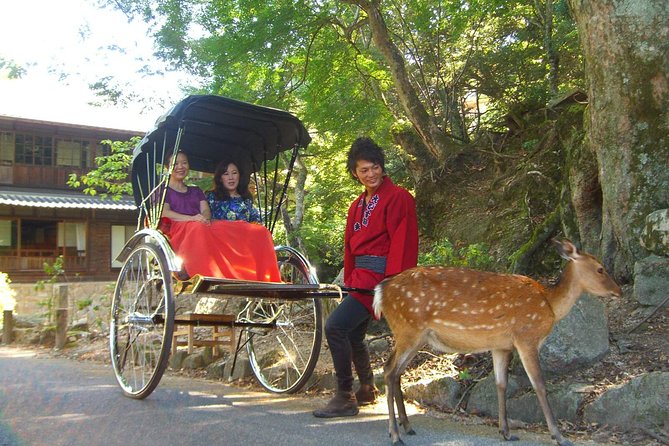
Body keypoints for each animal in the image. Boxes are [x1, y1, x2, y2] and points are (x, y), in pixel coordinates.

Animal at [374, 240, 620, 446]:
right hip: (408, 329)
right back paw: (395, 434)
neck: (549, 304)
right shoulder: (526, 337)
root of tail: (380, 291)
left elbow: (501, 384)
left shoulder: (501, 345)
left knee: (395, 372)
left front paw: (506, 432)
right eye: (600, 268)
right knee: (389, 370)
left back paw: (406, 427)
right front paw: (559, 436)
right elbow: (539, 384)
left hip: (416, 336)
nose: (618, 290)